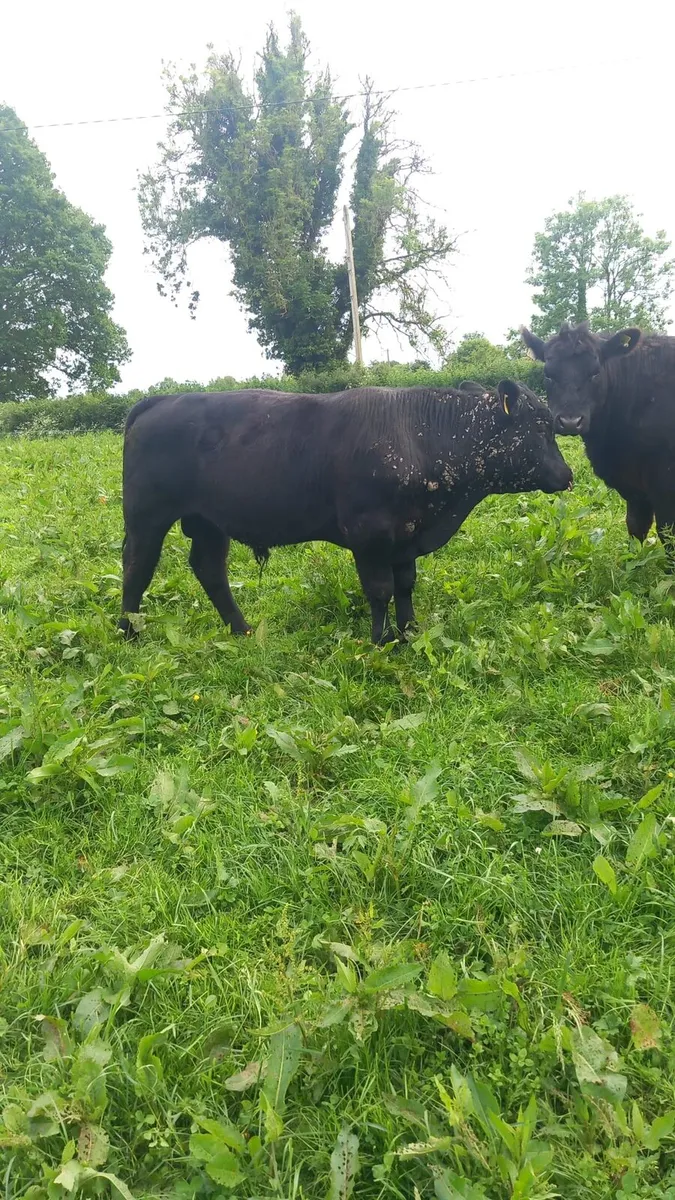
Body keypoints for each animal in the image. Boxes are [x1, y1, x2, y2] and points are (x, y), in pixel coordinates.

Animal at [119, 381, 573, 644]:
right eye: (541, 426)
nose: (568, 475)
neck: (420, 435)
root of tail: (161, 400)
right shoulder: (369, 535)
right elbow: (380, 589)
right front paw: (381, 641)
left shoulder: (407, 536)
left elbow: (406, 585)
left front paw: (410, 632)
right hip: (147, 516)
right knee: (137, 568)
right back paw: (128, 633)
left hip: (210, 522)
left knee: (209, 569)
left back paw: (242, 630)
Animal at [521, 321, 675, 553]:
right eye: (548, 374)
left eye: (595, 373)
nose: (570, 421)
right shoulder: (635, 488)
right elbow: (636, 526)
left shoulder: (664, 483)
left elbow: (668, 535)